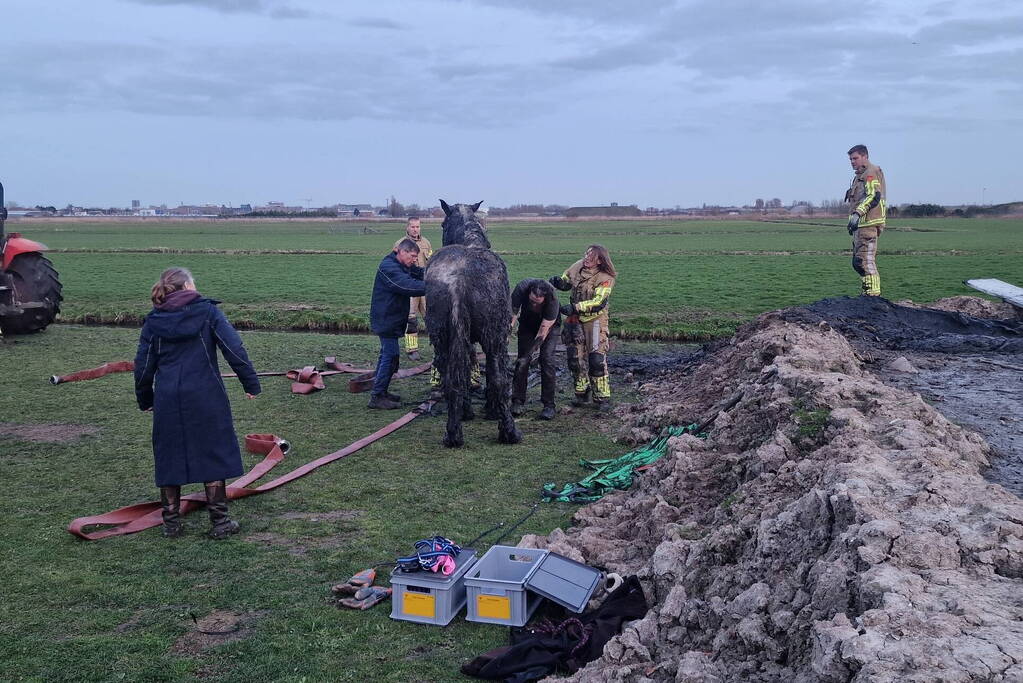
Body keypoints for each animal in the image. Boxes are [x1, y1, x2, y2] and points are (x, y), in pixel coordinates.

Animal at [423, 200, 519, 447]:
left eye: (442, 223)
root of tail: (457, 280)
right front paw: (490, 410)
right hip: (493, 336)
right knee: (498, 377)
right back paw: (506, 430)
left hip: (446, 337)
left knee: (454, 378)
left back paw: (455, 432)